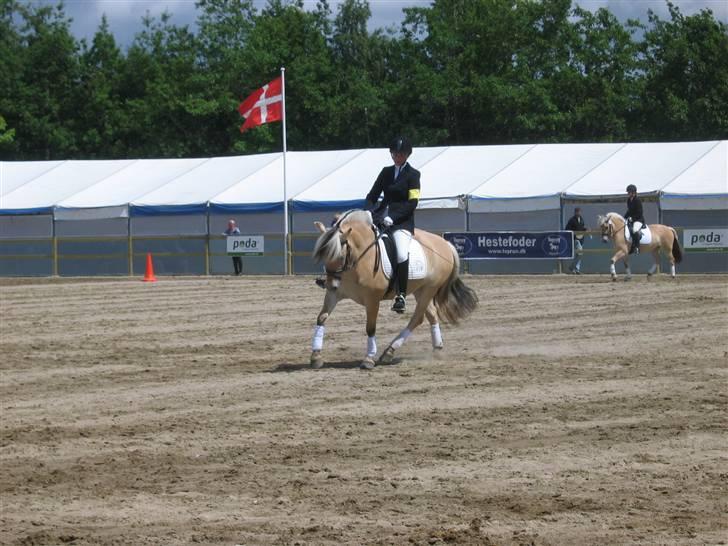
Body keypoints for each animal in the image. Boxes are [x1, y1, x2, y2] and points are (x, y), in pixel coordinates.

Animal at [312, 210, 478, 368]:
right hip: (420, 289)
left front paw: (368, 359)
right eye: (324, 255)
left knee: (417, 318)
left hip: (429, 289)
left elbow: (370, 328)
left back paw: (389, 351)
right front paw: (316, 356)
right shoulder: (335, 294)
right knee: (431, 315)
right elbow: (321, 318)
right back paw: (437, 348)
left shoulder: (372, 299)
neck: (358, 260)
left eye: (340, 256)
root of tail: (445, 244)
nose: (329, 284)